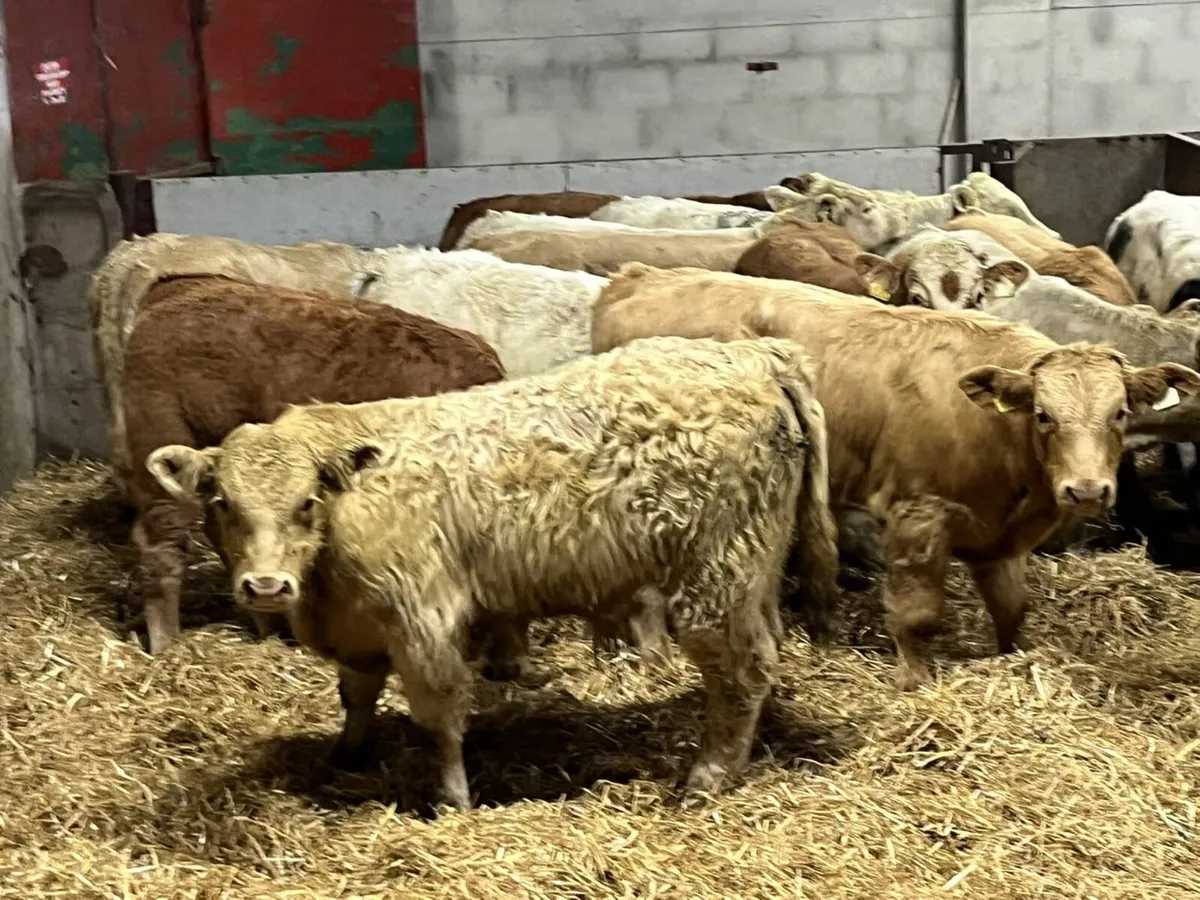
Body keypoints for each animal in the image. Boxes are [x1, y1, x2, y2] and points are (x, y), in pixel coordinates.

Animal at [143, 335, 840, 809]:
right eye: (222, 503)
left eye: (306, 501)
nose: (265, 586)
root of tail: (752, 352)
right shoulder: (360, 626)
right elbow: (357, 694)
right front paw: (349, 753)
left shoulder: (422, 619)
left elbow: (440, 713)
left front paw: (452, 797)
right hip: (753, 574)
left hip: (715, 582)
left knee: (742, 670)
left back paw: (708, 776)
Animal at [591, 263, 1200, 688]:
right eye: (1044, 415)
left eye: (1119, 413)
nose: (1088, 490)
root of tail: (637, 276)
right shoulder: (917, 515)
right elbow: (917, 614)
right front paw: (915, 680)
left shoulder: (1000, 539)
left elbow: (1011, 609)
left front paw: (1013, 661)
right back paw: (655, 659)